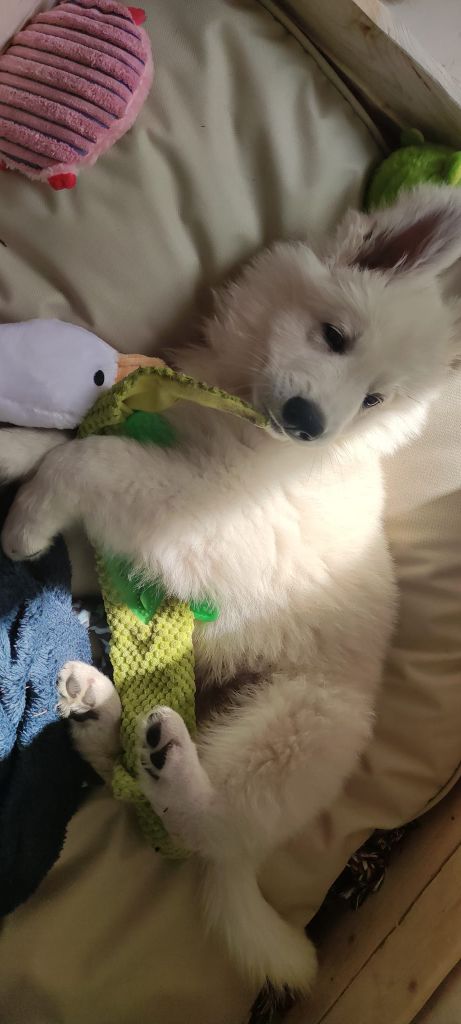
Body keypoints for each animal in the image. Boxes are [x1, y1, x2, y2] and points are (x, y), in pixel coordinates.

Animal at [1, 186, 461, 994]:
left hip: (300, 727)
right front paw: (11, 448)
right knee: (126, 771)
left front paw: (25, 522)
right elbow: (79, 438)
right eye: (335, 336)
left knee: (203, 830)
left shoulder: (193, 516)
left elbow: (91, 456)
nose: (308, 424)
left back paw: (173, 764)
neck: (235, 406)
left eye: (374, 400)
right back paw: (96, 712)